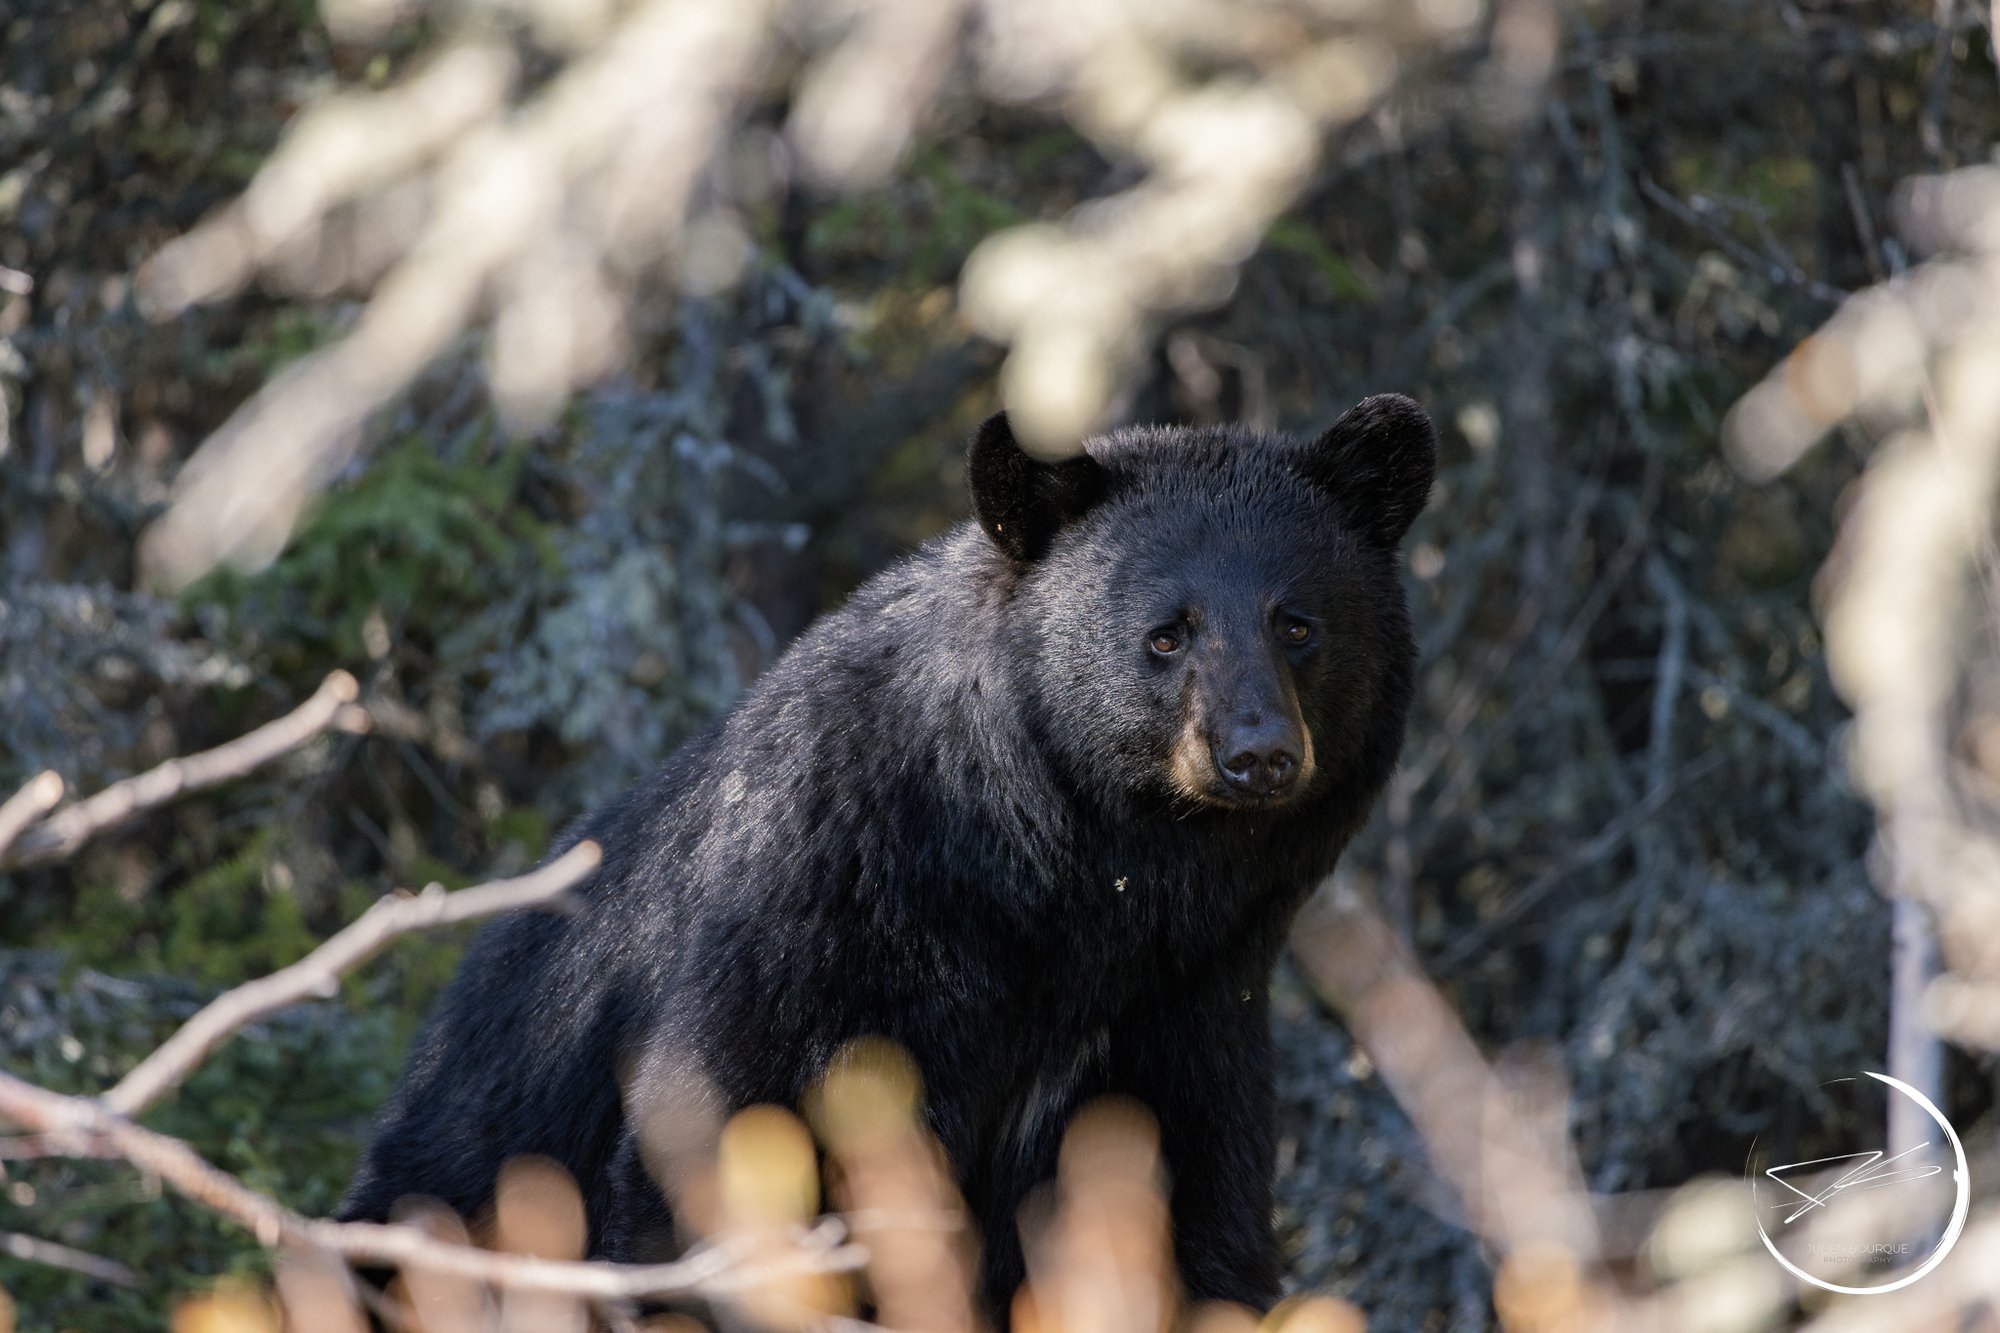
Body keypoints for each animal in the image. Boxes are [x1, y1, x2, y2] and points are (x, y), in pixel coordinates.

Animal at [339, 394, 1437, 1318]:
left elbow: (1191, 1210)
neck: (1072, 882)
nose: (1258, 753)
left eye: (1298, 624)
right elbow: (722, 1144)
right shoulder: (822, 917)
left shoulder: (1184, 1006)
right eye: (1166, 633)